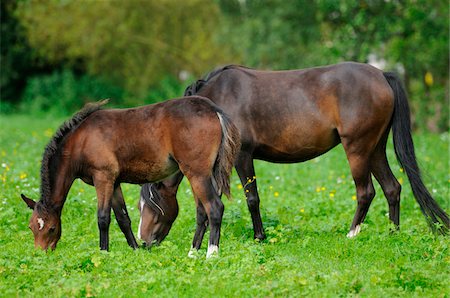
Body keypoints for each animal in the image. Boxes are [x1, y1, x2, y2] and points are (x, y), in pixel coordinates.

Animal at [21, 96, 241, 258]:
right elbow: (123, 218)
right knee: (202, 212)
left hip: (197, 173)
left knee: (214, 208)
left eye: (51, 228)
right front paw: (135, 249)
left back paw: (211, 254)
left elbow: (103, 218)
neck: (80, 141)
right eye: (31, 227)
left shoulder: (103, 178)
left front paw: (103, 253)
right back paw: (193, 252)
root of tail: (214, 110)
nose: (40, 255)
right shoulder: (115, 183)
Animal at [139, 61, 448, 249]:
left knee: (366, 192)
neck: (218, 101)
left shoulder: (242, 157)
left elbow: (252, 199)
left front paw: (259, 237)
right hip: (375, 149)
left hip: (358, 149)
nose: (144, 242)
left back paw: (351, 234)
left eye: (150, 204)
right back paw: (392, 234)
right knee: (392, 188)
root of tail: (382, 75)